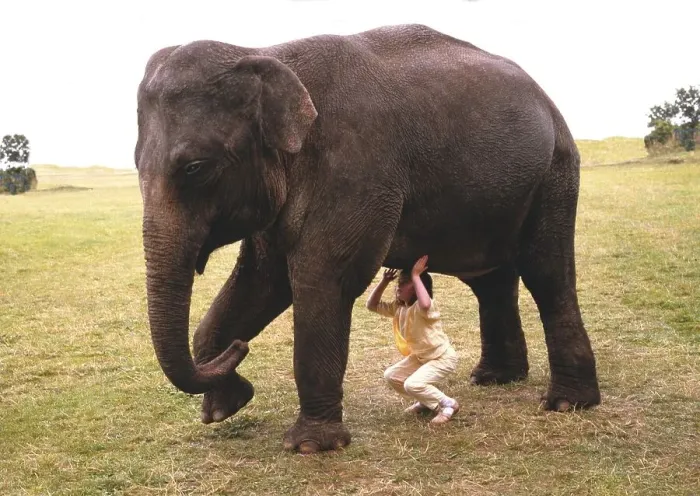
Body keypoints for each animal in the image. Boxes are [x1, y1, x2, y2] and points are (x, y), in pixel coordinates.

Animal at [134, 24, 601, 454]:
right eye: (136, 164)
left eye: (195, 167)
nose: (240, 347)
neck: (266, 54)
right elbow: (262, 281)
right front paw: (224, 408)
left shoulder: (357, 169)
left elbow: (322, 278)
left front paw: (311, 446)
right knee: (491, 281)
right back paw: (494, 379)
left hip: (555, 173)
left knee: (547, 275)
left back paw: (566, 403)